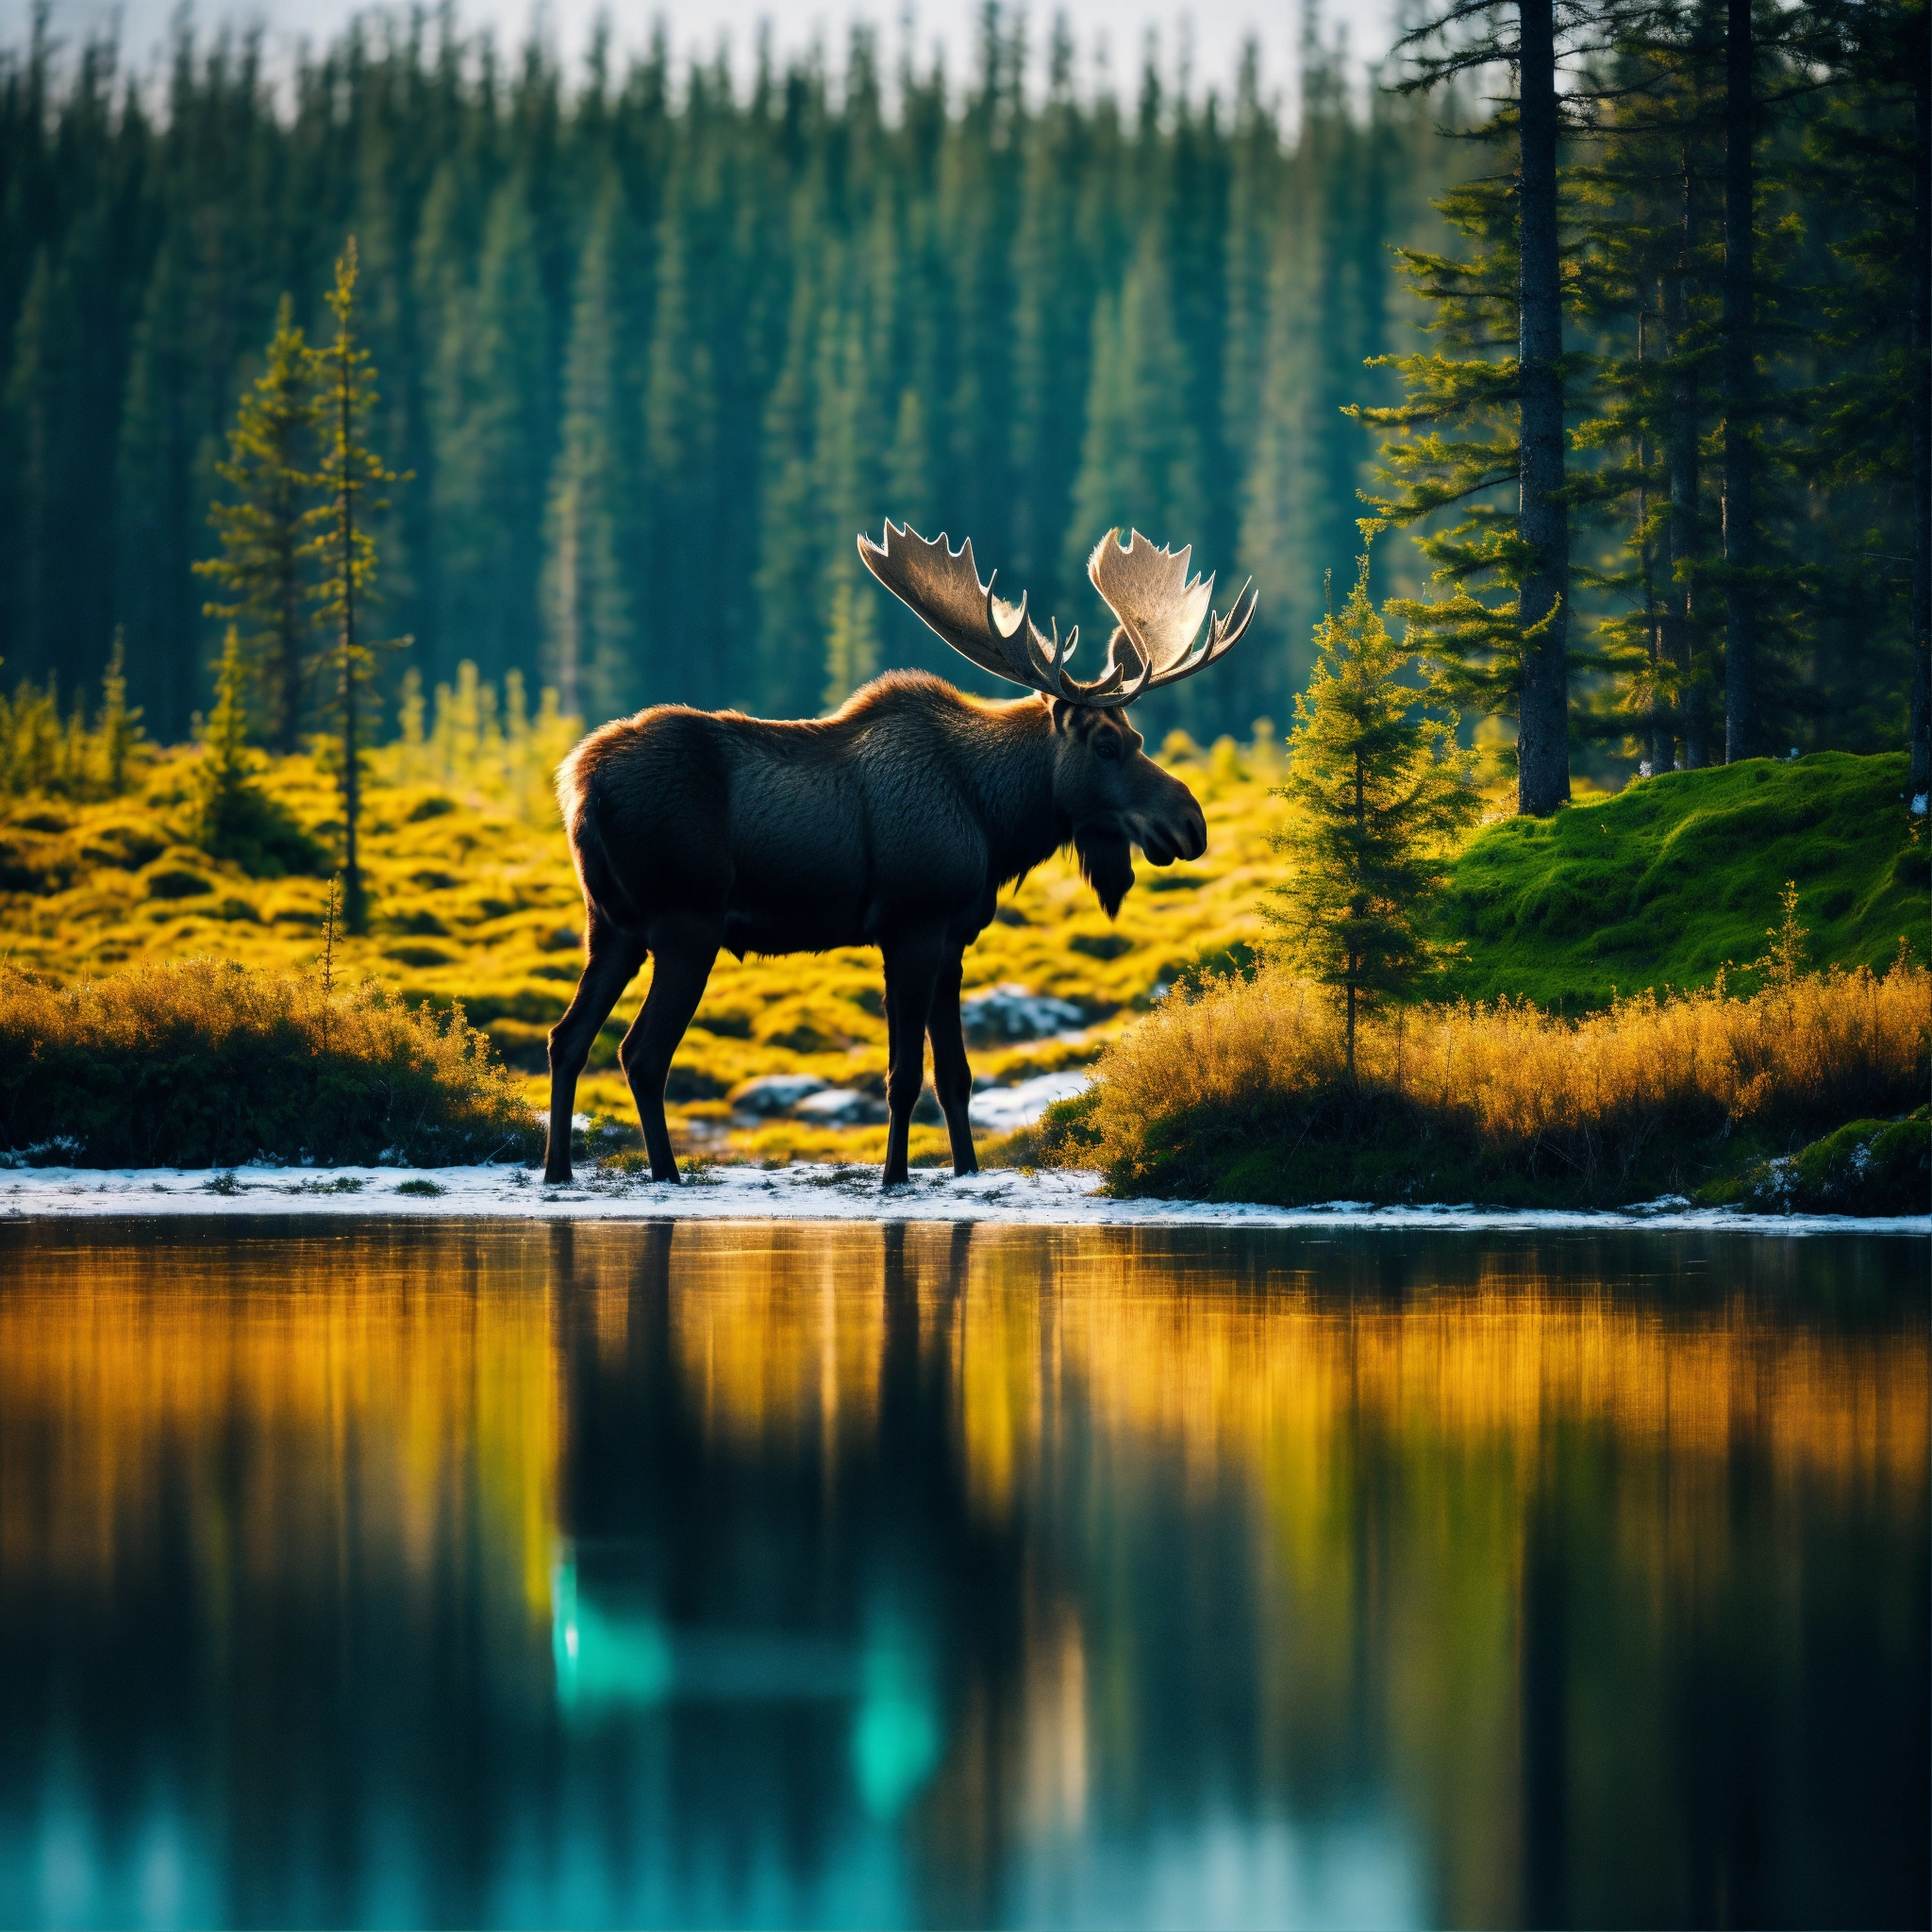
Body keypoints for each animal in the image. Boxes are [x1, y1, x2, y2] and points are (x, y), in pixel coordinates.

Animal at [543, 524, 1256, 1188]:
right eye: (1108, 744)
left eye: (1138, 737)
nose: (1190, 823)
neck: (995, 817)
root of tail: (580, 785)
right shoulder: (909, 927)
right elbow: (904, 1076)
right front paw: (894, 1176)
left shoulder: (952, 938)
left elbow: (956, 1077)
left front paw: (965, 1170)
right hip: (687, 923)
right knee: (641, 1054)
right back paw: (665, 1174)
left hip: (612, 926)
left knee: (567, 1039)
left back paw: (558, 1170)